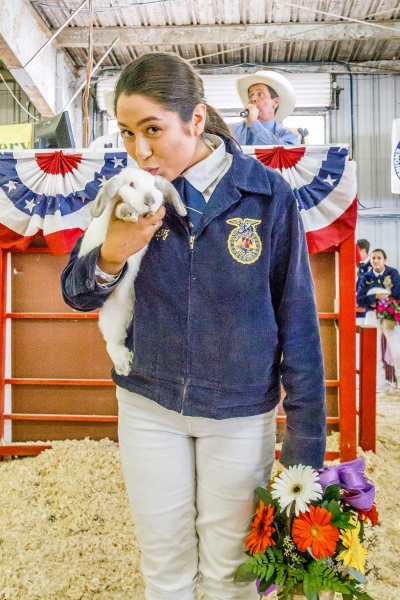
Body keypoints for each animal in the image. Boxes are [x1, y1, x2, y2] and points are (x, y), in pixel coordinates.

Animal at [80, 168, 188, 376]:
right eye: (131, 184)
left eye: (154, 185)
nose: (150, 200)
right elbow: (120, 209)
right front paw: (129, 213)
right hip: (114, 318)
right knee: (112, 343)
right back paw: (123, 365)